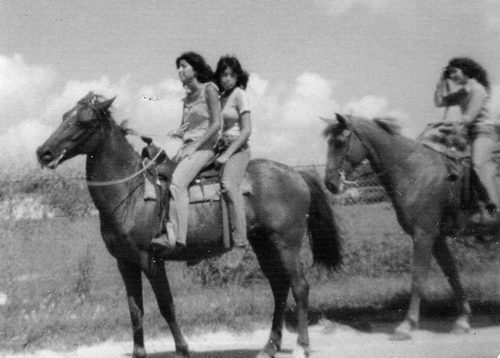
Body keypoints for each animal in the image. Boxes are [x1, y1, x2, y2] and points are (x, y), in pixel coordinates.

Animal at [34, 93, 340, 358]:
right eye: (65, 116)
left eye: (85, 121)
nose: (44, 152)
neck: (131, 193)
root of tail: (296, 174)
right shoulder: (126, 263)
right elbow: (135, 310)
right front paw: (139, 352)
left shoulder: (151, 260)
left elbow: (166, 306)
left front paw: (182, 349)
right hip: (263, 243)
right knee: (279, 288)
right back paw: (269, 346)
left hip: (286, 243)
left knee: (300, 287)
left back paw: (302, 346)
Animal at [322, 113, 498, 340]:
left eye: (339, 142)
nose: (330, 183)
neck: (416, 172)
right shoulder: (437, 238)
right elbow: (452, 274)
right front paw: (462, 320)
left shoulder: (423, 235)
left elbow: (418, 278)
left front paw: (406, 325)